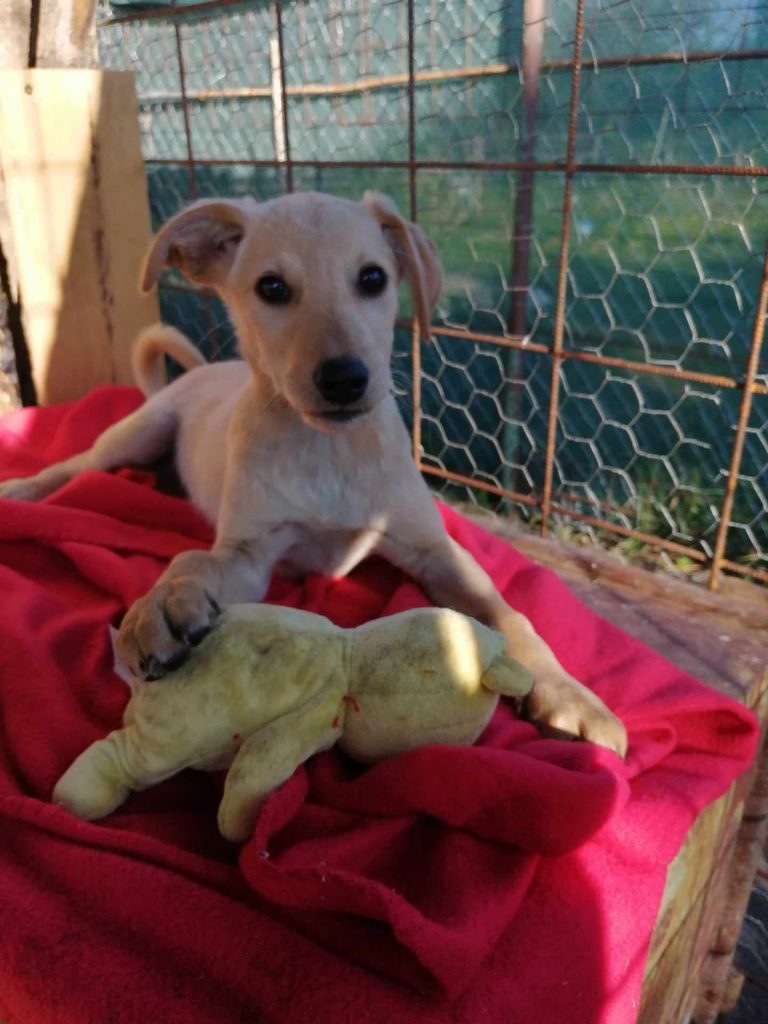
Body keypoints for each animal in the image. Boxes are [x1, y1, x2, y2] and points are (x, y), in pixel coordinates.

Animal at [0, 190, 626, 753]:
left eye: (373, 279)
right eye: (272, 288)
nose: (345, 378)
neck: (329, 451)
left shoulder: (434, 550)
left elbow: (511, 613)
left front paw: (570, 695)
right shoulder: (249, 555)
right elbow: (194, 560)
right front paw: (162, 603)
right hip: (137, 431)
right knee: (77, 465)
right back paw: (23, 491)